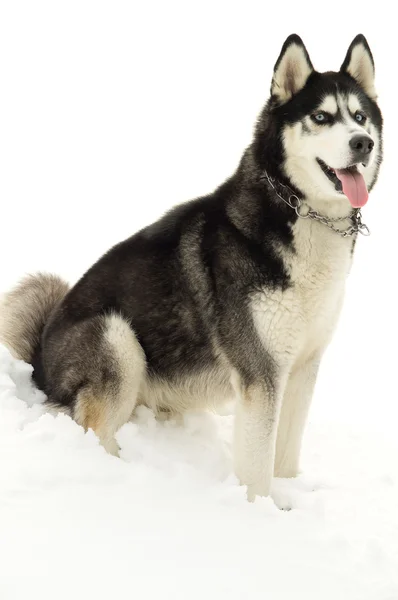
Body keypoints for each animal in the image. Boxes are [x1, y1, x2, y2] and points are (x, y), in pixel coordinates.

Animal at [0, 35, 382, 500]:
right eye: (321, 117)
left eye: (360, 116)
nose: (362, 142)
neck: (299, 214)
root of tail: (39, 360)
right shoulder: (261, 372)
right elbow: (258, 467)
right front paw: (262, 510)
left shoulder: (303, 365)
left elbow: (286, 455)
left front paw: (292, 496)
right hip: (116, 337)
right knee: (92, 428)